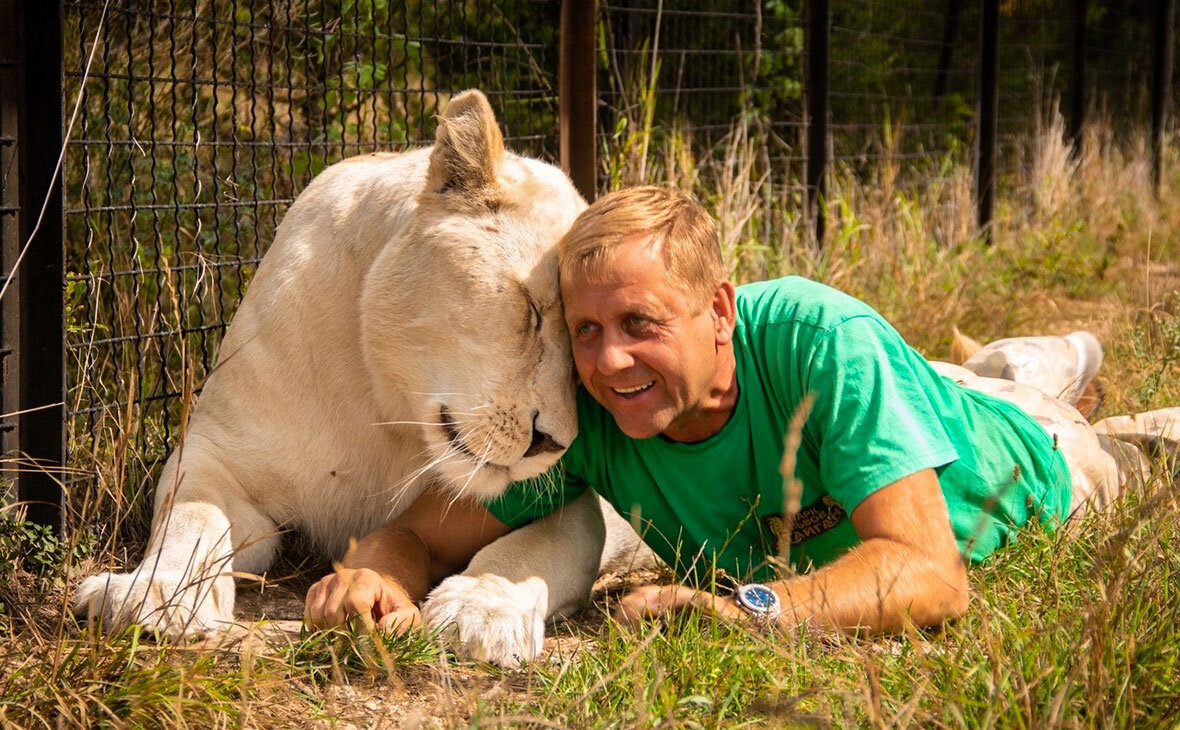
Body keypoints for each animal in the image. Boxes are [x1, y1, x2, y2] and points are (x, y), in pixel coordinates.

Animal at [76, 90, 646, 669]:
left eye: (583, 352)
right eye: (533, 309)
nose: (553, 443)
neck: (390, 412)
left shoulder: (577, 505)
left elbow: (527, 552)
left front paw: (480, 609)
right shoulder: (215, 452)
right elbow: (190, 517)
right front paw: (152, 595)